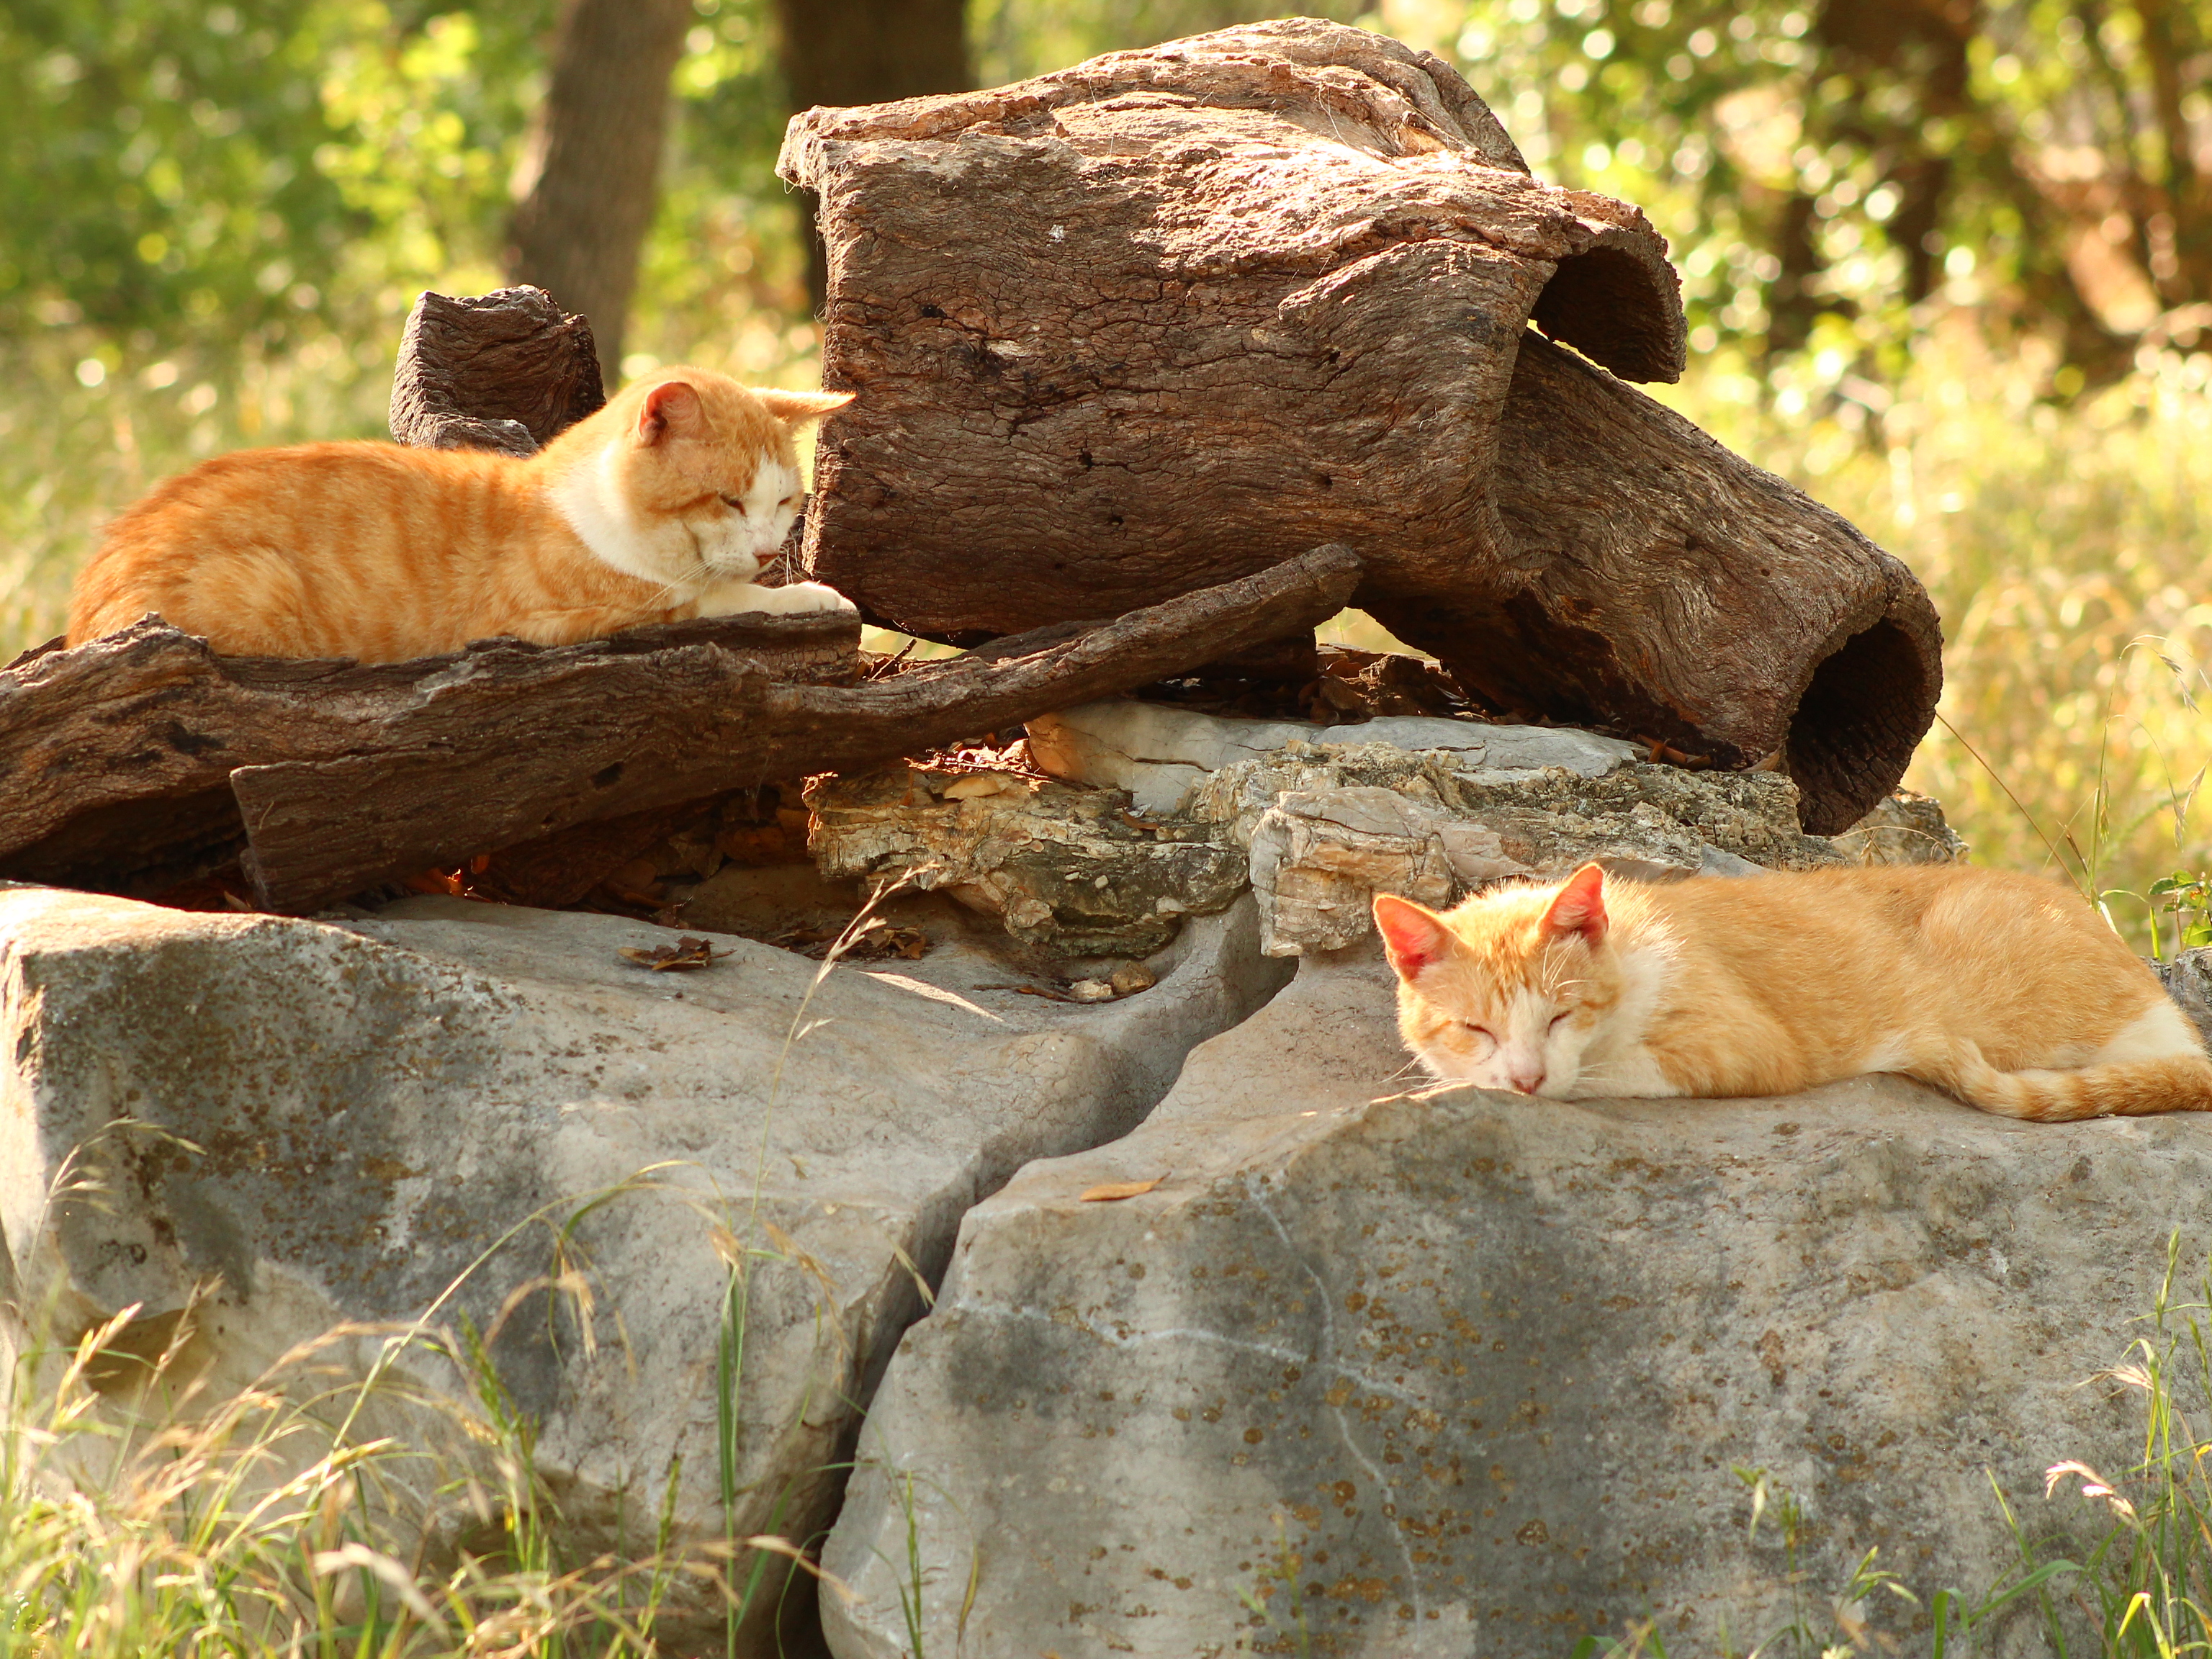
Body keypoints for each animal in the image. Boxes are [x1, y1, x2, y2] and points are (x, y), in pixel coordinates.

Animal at [69, 367, 853, 667]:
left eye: (785, 503)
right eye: (729, 500)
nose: (766, 551)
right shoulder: (565, 617)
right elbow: (720, 598)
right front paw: (809, 594)